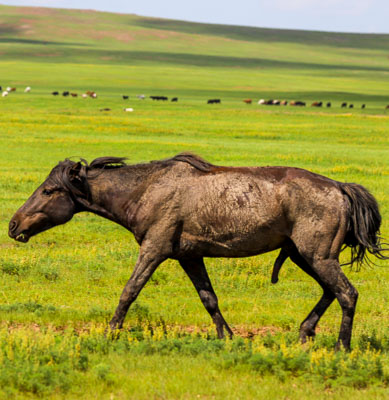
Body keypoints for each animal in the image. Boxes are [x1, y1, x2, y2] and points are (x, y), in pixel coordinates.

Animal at [8, 153, 384, 350]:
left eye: (48, 190)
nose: (13, 225)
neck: (146, 189)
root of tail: (339, 187)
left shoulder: (154, 249)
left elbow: (129, 291)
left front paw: (110, 332)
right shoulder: (189, 256)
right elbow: (209, 299)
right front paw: (226, 337)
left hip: (317, 257)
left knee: (347, 294)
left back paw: (341, 346)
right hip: (303, 256)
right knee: (330, 291)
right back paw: (305, 332)